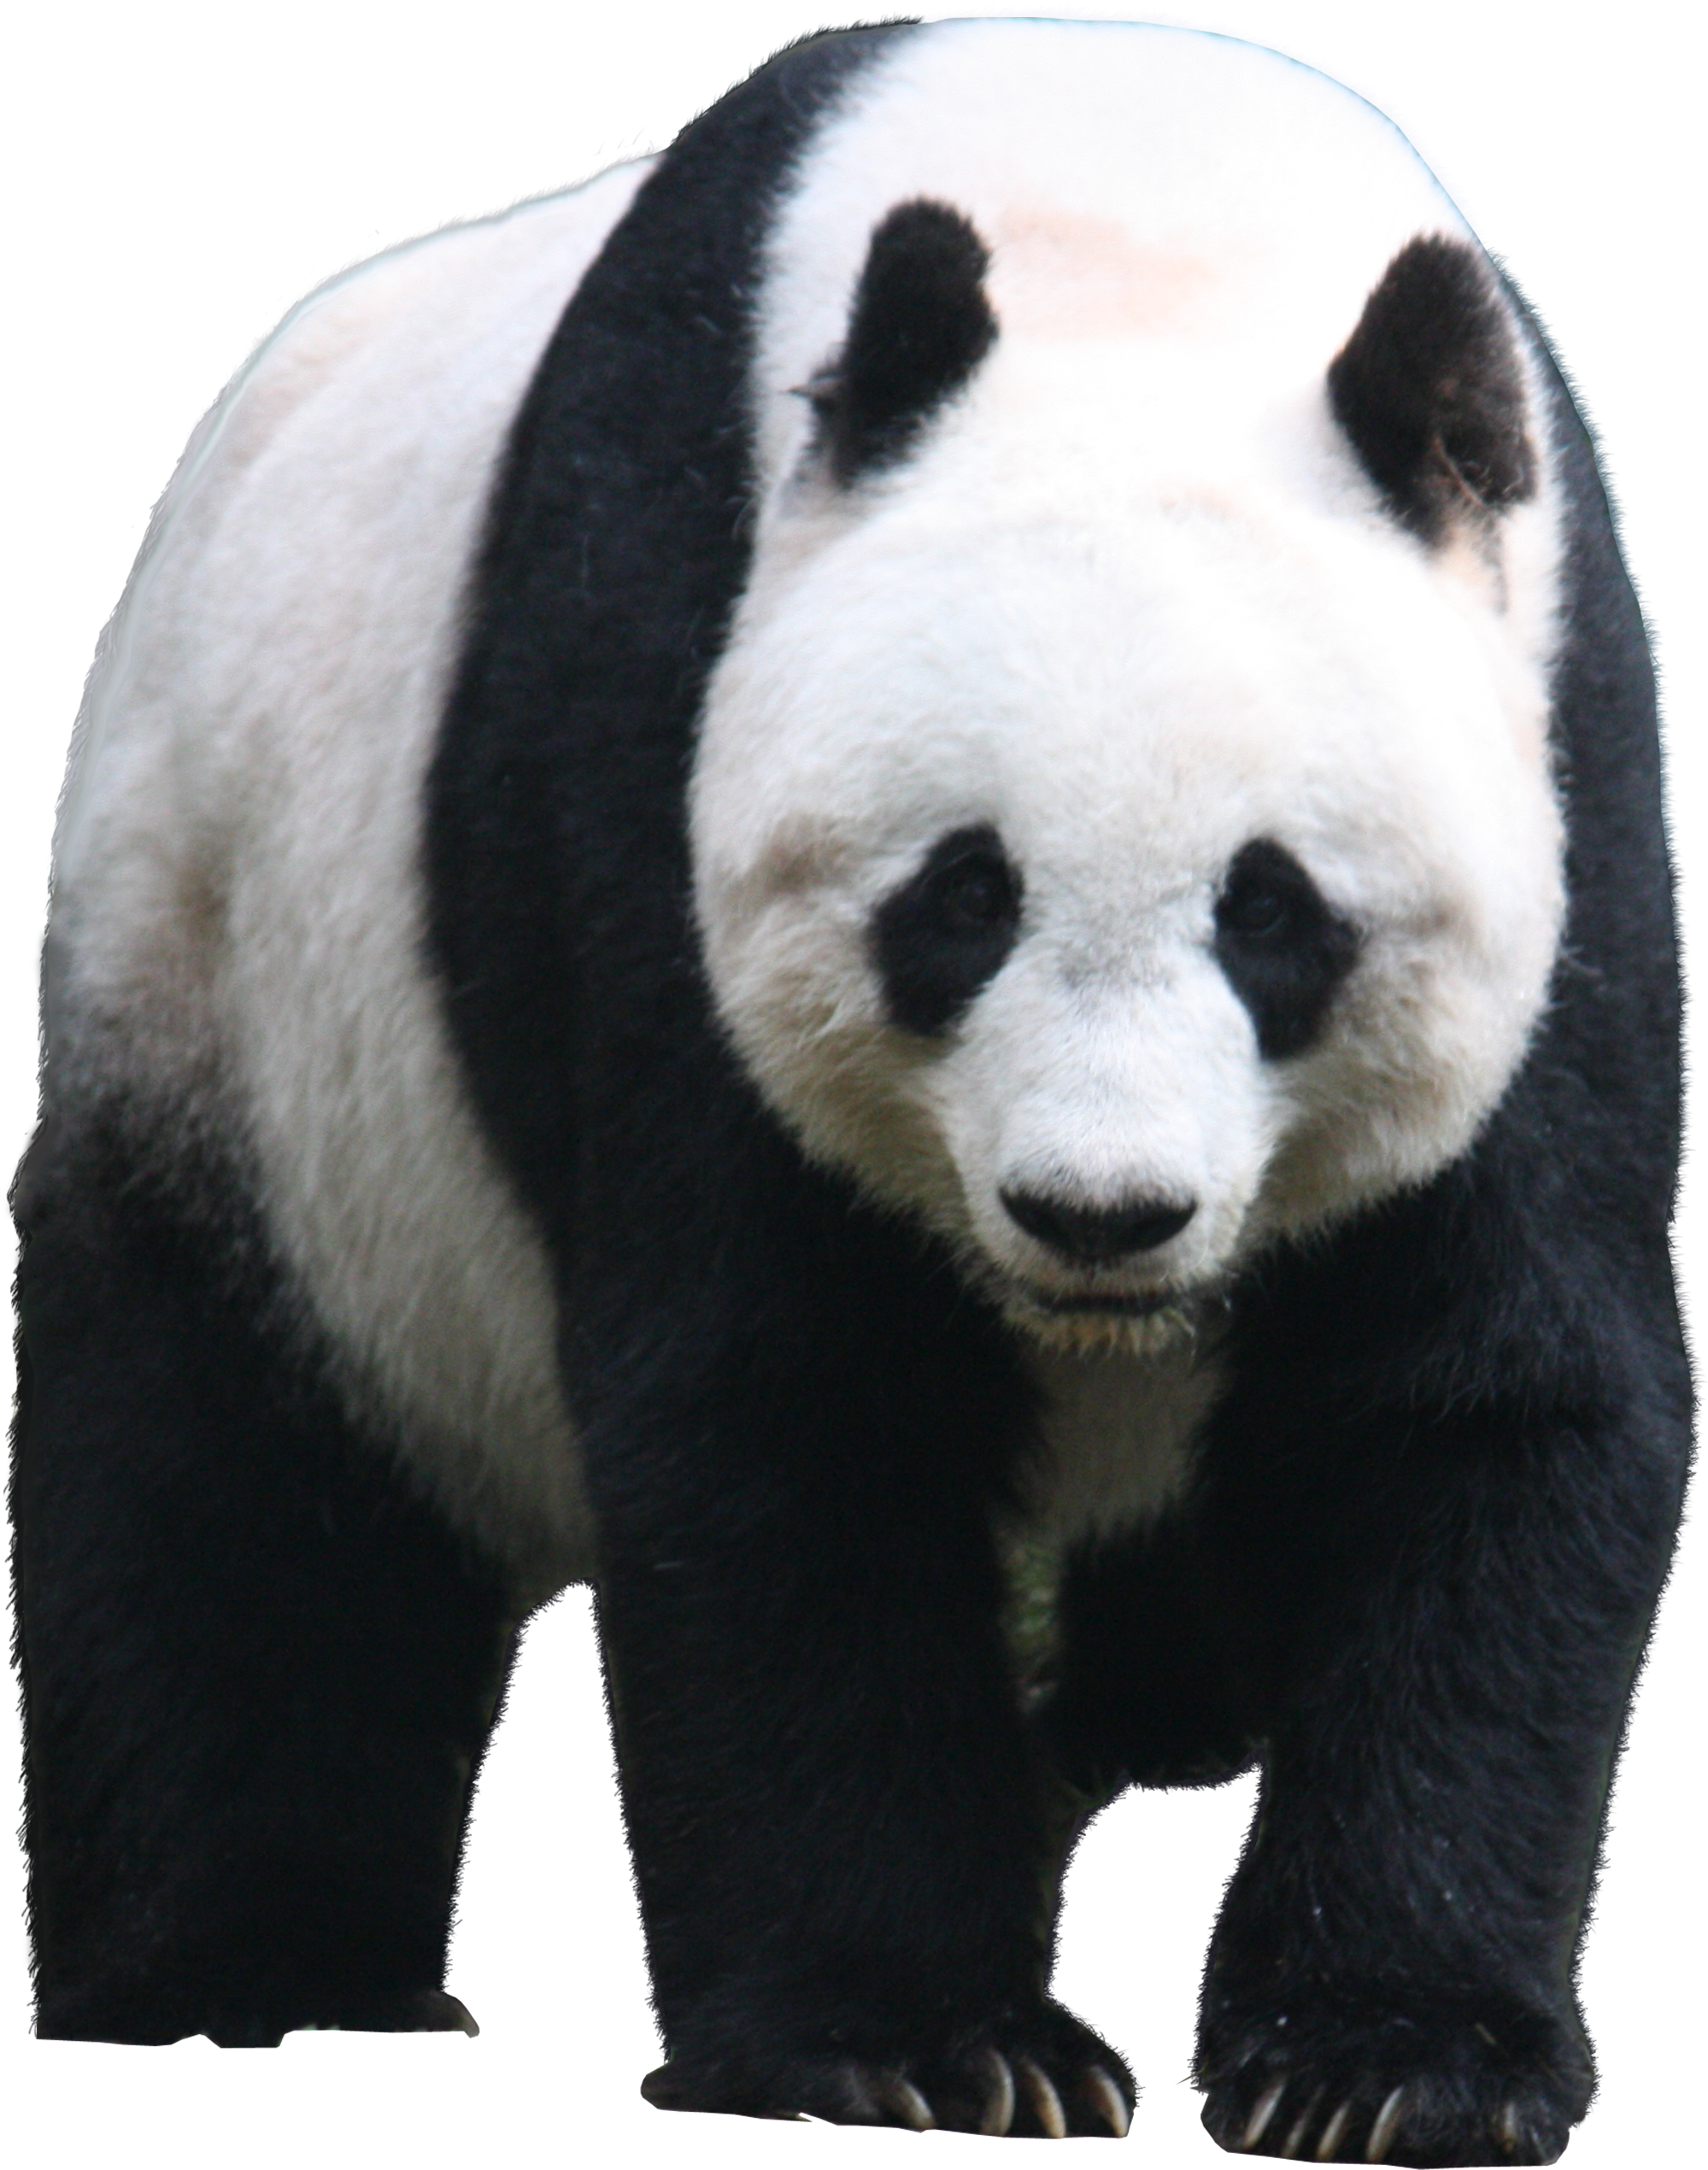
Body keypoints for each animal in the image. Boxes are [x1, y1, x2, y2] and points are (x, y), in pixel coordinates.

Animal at [11, 10, 1689, 2160]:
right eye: (961, 897)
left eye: (1274, 914)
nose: (1097, 1213)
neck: (1135, 231)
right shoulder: (648, 706)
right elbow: (787, 1406)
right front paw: (921, 2043)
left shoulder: (1563, 763)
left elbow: (1477, 1398)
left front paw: (1387, 2061)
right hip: (231, 993)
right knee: (227, 1482)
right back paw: (253, 1975)